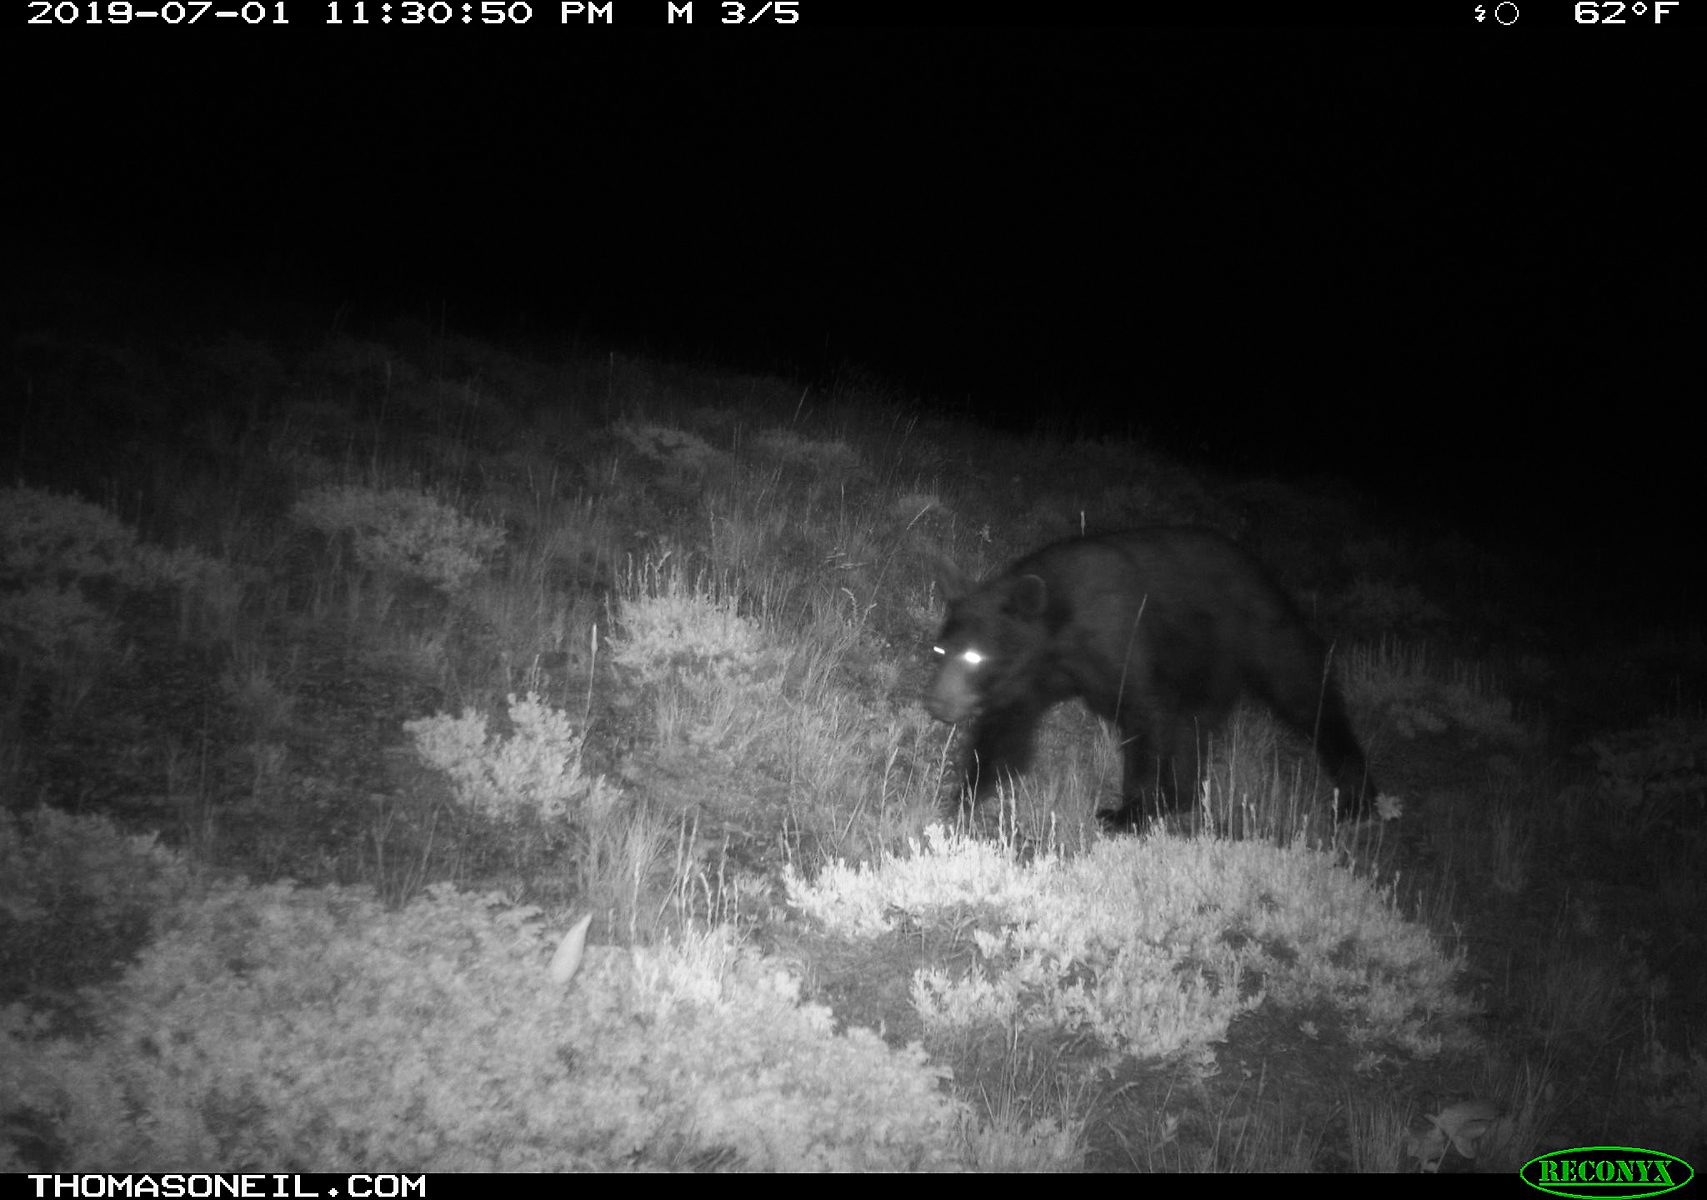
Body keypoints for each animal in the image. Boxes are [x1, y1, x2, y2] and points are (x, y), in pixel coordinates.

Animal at [925, 528, 1376, 827]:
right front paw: (960, 802)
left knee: (1304, 692)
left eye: (977, 656)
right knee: (1192, 726)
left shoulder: (1119, 636)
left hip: (1260, 631)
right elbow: (1005, 735)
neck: (1060, 630)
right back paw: (1181, 799)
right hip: (1205, 668)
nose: (937, 705)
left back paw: (1355, 799)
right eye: (940, 651)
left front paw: (1125, 813)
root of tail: (1265, 573)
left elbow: (1144, 713)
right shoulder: (1026, 678)